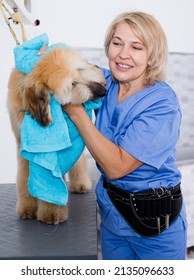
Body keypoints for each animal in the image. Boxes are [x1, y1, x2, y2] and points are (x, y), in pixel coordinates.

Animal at [7, 47, 106, 224]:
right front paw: (27, 208)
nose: (103, 91)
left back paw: (80, 184)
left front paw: (51, 213)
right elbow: (24, 179)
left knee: (78, 162)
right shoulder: (23, 148)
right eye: (72, 84)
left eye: (80, 69)